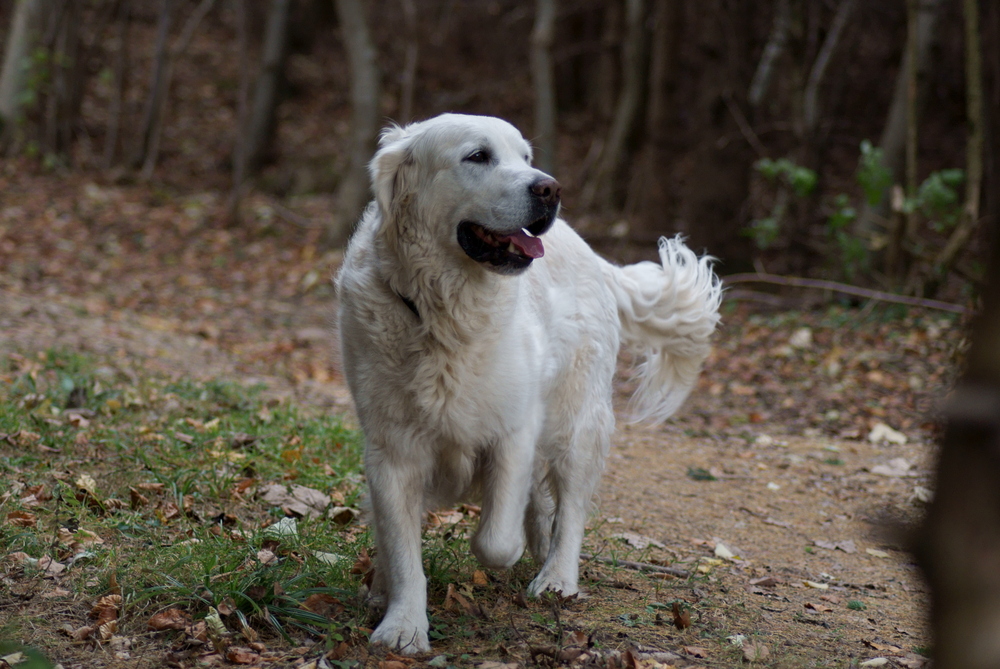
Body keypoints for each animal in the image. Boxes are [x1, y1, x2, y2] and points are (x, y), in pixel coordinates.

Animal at [336, 113, 720, 652]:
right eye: (477, 156)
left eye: (525, 156)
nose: (550, 188)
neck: (442, 314)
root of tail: (595, 257)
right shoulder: (390, 449)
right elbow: (399, 543)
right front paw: (402, 624)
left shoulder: (513, 430)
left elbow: (495, 541)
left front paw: (508, 551)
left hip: (578, 423)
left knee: (571, 508)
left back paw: (557, 576)